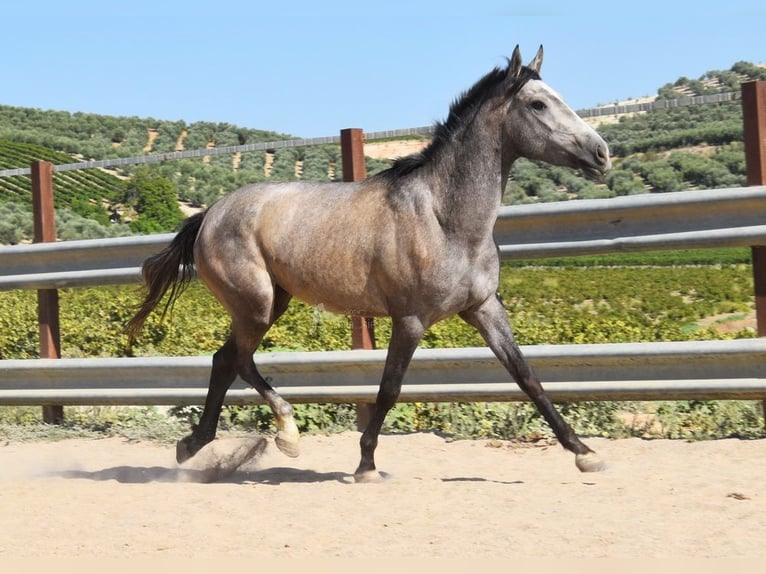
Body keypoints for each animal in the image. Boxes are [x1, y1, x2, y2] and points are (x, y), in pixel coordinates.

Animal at [129, 46, 616, 482]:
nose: (601, 153)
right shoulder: (411, 319)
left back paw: (228, 440)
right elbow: (389, 389)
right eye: (538, 103)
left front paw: (586, 454)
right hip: (256, 304)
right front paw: (365, 466)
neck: (444, 218)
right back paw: (251, 439)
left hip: (271, 303)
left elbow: (527, 376)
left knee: (230, 361)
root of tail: (209, 213)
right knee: (232, 360)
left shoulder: (484, 309)